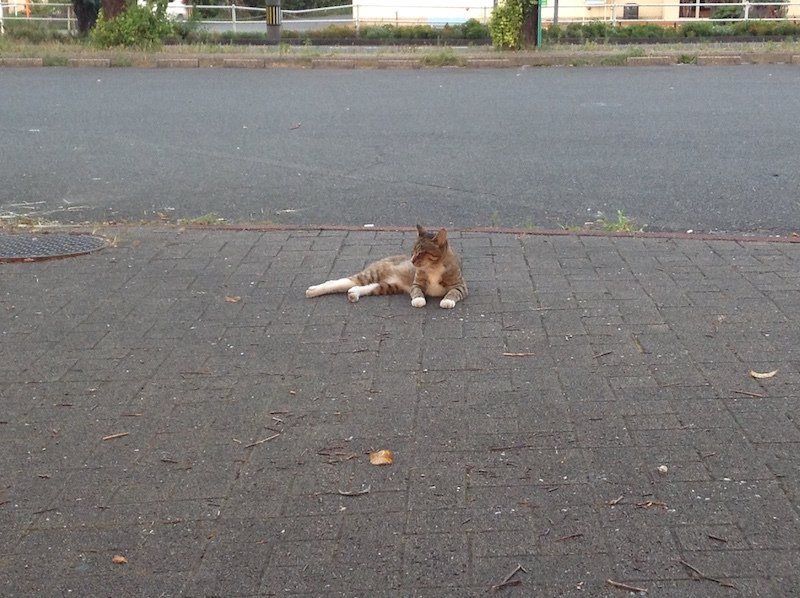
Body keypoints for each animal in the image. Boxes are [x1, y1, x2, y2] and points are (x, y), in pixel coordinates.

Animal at [306, 225, 468, 310]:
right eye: (413, 251)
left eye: (422, 252)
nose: (412, 260)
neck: (434, 267)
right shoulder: (416, 284)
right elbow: (417, 292)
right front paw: (419, 300)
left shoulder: (460, 286)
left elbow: (453, 292)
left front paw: (447, 300)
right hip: (372, 274)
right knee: (339, 282)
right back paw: (313, 290)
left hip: (388, 286)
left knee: (362, 287)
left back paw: (354, 293)